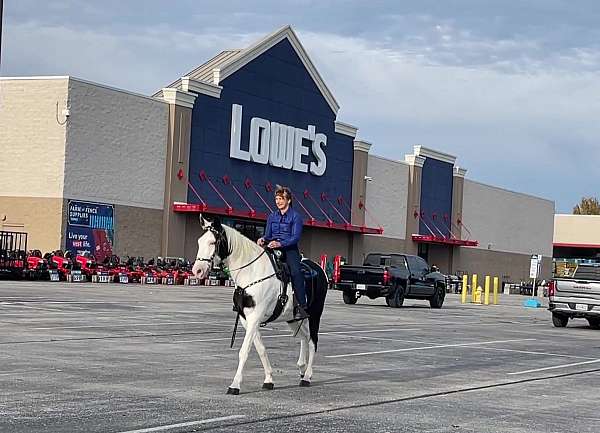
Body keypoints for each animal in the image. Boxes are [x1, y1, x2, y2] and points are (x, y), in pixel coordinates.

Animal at [191, 214, 328, 394]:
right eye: (199, 241)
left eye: (213, 242)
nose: (197, 271)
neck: (251, 273)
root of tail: (319, 269)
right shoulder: (247, 319)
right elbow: (261, 349)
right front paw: (269, 380)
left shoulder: (255, 317)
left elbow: (244, 351)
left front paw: (235, 385)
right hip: (293, 317)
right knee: (304, 337)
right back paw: (301, 368)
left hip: (315, 315)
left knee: (313, 341)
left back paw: (307, 376)